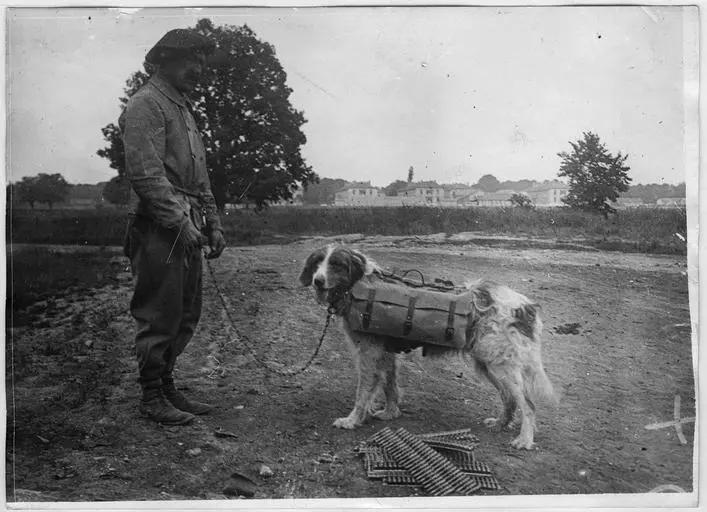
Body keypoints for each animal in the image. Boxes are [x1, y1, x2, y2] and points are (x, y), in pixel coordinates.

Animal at [298, 244, 560, 448]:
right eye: (318, 262)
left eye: (336, 264)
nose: (317, 281)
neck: (359, 285)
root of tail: (525, 306)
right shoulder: (386, 353)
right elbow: (390, 386)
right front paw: (390, 413)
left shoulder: (369, 354)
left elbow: (363, 393)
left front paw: (352, 420)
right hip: (490, 365)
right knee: (510, 398)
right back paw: (500, 424)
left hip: (501, 365)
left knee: (528, 405)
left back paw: (524, 440)